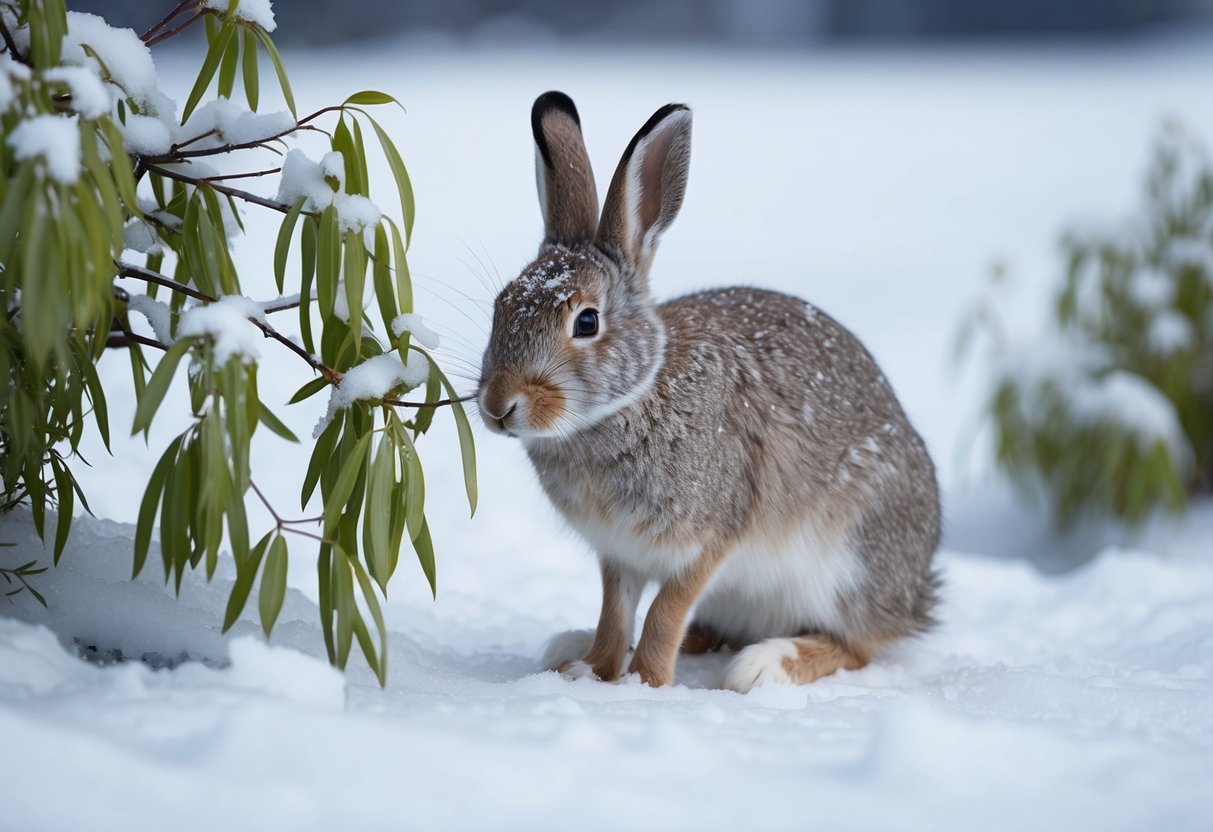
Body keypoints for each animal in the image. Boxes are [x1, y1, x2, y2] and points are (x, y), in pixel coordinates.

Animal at [477, 91, 941, 693]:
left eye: (586, 322)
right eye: (501, 306)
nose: (497, 407)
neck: (630, 401)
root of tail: (916, 594)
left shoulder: (708, 539)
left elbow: (664, 613)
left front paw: (645, 684)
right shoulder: (618, 555)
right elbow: (615, 613)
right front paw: (594, 670)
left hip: (847, 566)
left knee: (857, 645)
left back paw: (766, 665)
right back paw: (572, 646)